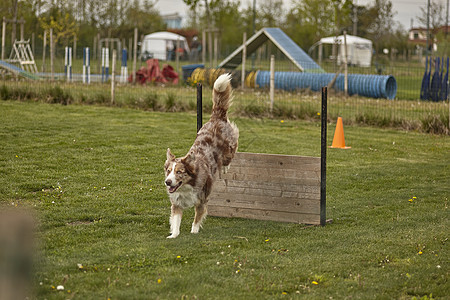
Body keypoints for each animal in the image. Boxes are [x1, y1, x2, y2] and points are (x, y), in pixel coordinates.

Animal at [163, 74, 239, 238]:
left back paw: (225, 167)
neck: (186, 186)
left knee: (231, 154)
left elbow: (197, 219)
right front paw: (173, 235)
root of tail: (217, 116)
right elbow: (176, 221)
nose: (167, 182)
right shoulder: (176, 203)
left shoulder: (202, 200)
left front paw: (194, 233)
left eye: (179, 172)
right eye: (169, 171)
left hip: (229, 148)